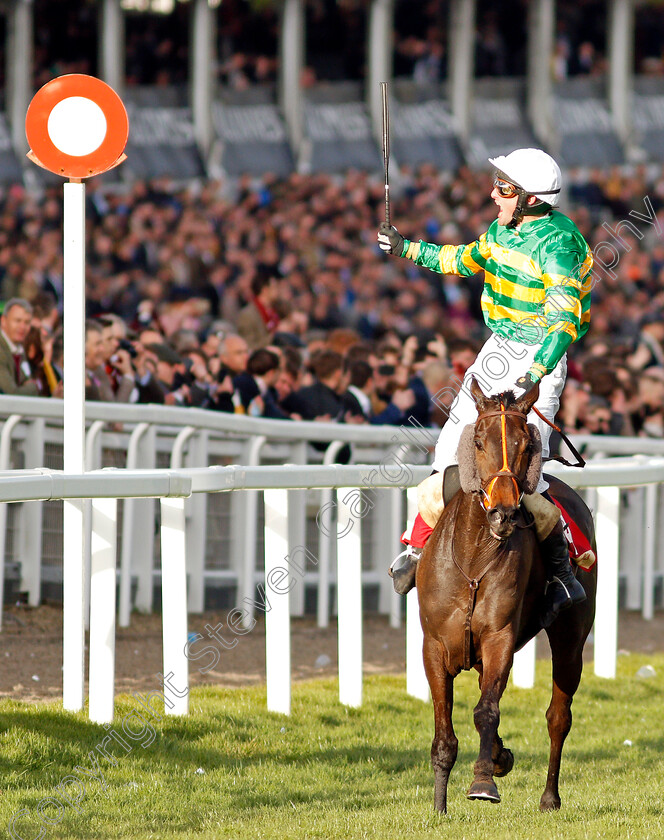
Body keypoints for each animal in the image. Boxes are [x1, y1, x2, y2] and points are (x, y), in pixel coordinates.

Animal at [416, 378, 596, 812]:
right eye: (478, 442)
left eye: (526, 445)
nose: (503, 513)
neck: (473, 556)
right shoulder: (434, 645)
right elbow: (444, 731)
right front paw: (440, 804)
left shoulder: (499, 638)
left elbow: (486, 711)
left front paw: (483, 780)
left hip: (571, 638)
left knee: (558, 716)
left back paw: (550, 797)